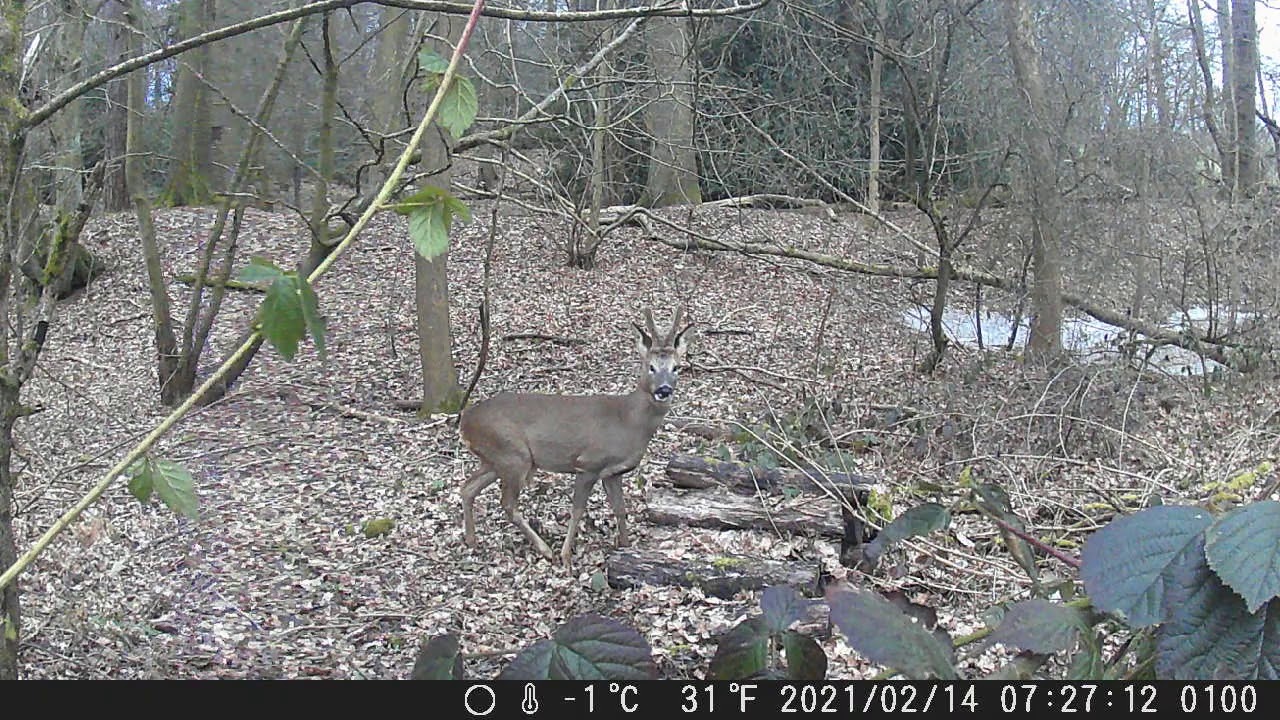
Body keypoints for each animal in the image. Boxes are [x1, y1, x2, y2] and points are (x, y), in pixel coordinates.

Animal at [459, 308, 691, 567]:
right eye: (650, 366)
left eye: (676, 367)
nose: (664, 390)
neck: (628, 421)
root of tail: (465, 421)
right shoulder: (588, 463)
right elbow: (577, 510)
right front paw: (565, 555)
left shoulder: (612, 472)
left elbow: (620, 509)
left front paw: (625, 546)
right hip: (512, 455)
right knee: (507, 504)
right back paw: (545, 550)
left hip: (496, 458)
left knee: (467, 487)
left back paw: (472, 541)